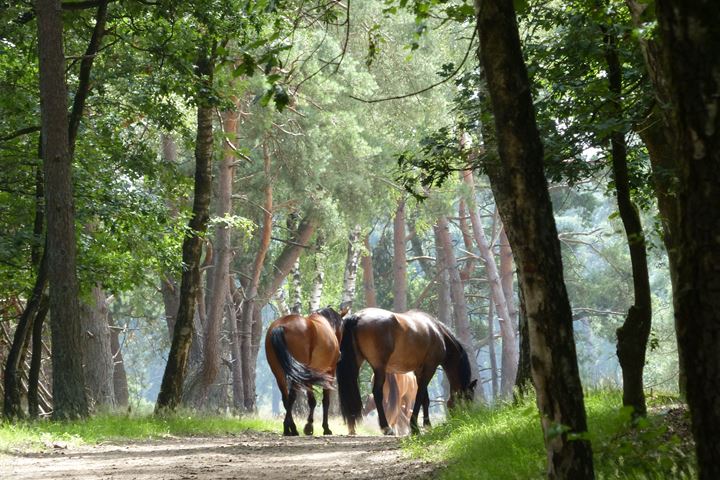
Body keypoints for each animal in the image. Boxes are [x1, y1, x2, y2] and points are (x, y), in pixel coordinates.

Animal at [264, 308, 346, 436]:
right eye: (342, 327)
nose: (340, 355)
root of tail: (282, 325)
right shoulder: (330, 372)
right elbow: (326, 401)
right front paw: (325, 428)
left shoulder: (308, 374)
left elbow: (311, 401)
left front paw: (309, 426)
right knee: (292, 396)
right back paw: (290, 428)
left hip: (279, 372)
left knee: (286, 398)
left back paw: (290, 428)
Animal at [338, 308, 478, 436]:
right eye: (469, 398)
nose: (468, 418)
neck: (438, 332)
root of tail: (358, 316)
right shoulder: (430, 368)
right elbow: (420, 396)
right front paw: (415, 427)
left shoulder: (419, 371)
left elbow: (425, 399)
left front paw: (427, 425)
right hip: (380, 369)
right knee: (377, 393)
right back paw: (386, 428)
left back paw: (352, 428)